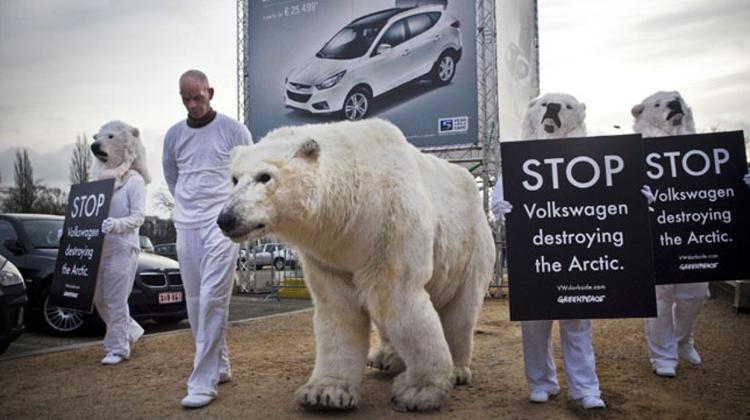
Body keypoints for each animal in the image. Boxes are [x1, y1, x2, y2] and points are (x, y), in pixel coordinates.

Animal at [217, 118, 495, 412]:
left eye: (264, 176)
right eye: (234, 178)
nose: (227, 219)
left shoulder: (390, 226)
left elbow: (397, 300)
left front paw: (419, 390)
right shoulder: (327, 255)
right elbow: (339, 308)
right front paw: (325, 393)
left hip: (472, 247)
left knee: (461, 311)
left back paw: (458, 370)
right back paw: (386, 358)